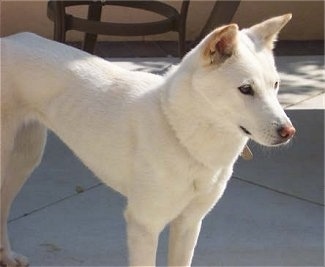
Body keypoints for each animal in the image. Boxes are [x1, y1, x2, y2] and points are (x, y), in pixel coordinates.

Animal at [0, 14, 294, 267]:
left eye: (276, 85)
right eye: (246, 89)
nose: (289, 132)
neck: (177, 128)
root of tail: (9, 40)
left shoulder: (189, 224)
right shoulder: (144, 225)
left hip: (24, 161)